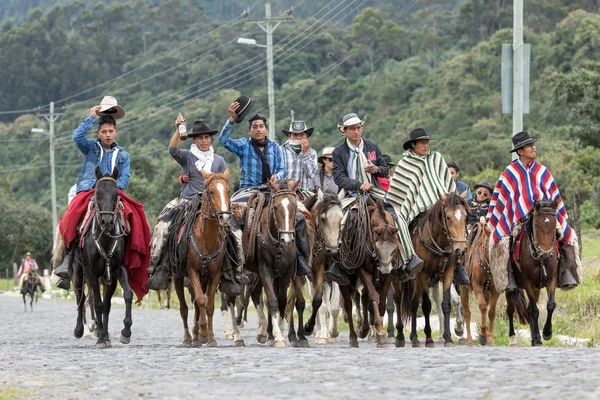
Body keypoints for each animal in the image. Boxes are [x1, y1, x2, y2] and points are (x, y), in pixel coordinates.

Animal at [73, 167, 131, 348]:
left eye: (116, 194)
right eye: (97, 193)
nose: (107, 221)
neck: (105, 238)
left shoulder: (116, 271)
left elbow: (120, 298)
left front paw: (123, 332)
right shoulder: (92, 273)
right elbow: (98, 304)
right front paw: (100, 339)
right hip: (79, 270)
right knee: (81, 297)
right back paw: (80, 330)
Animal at [173, 169, 232, 346]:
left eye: (228, 190)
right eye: (211, 191)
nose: (225, 217)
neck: (205, 238)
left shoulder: (214, 275)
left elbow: (209, 304)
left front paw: (210, 338)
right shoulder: (192, 271)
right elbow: (200, 300)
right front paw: (204, 332)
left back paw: (196, 335)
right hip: (178, 277)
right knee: (184, 308)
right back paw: (188, 338)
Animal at [340, 195, 400, 346]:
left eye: (394, 248)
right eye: (378, 247)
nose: (384, 269)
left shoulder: (389, 274)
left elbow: (381, 301)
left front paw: (378, 329)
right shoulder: (362, 270)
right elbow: (374, 296)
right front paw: (380, 333)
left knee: (363, 297)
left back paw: (364, 329)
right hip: (345, 279)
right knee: (348, 304)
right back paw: (354, 337)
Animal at [404, 193, 468, 346]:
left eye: (465, 216)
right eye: (448, 217)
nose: (460, 249)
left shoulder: (448, 274)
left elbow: (446, 304)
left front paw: (448, 337)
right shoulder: (422, 274)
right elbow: (426, 305)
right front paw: (428, 338)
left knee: (415, 302)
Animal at [506, 200, 564, 346]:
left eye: (554, 223)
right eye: (537, 224)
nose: (546, 254)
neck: (540, 259)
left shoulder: (551, 279)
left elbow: (550, 305)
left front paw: (547, 333)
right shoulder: (528, 282)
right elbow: (534, 311)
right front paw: (538, 339)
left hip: (536, 289)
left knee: (526, 311)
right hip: (509, 288)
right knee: (510, 311)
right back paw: (513, 338)